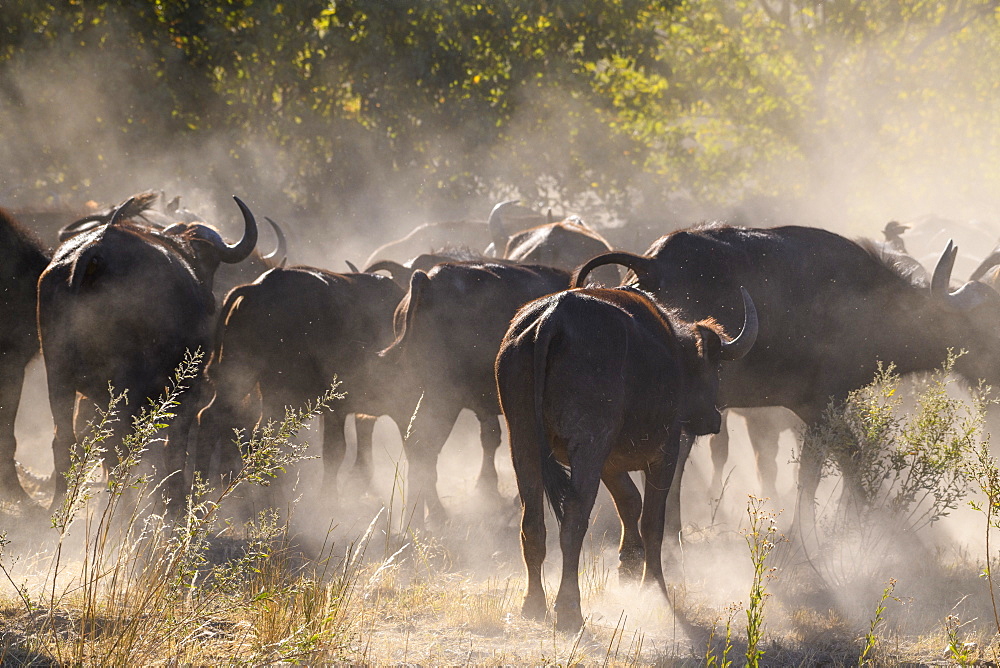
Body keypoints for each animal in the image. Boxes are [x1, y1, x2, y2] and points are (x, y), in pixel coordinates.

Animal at [37, 196, 260, 508]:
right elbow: (173, 445)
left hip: (58, 376)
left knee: (65, 440)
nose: (209, 299)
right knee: (118, 443)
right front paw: (175, 502)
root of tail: (96, 252)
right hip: (126, 386)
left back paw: (60, 504)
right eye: (209, 261)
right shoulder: (186, 390)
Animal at [496, 288, 760, 632]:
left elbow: (629, 501)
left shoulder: (611, 461)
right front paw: (654, 585)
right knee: (573, 522)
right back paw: (569, 610)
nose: (713, 419)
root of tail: (555, 314)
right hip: (588, 444)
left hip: (523, 440)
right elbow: (652, 521)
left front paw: (630, 565)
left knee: (532, 523)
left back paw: (534, 604)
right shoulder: (666, 452)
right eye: (712, 367)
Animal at [576, 227, 1000, 540]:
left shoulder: (817, 406)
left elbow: (849, 459)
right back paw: (672, 537)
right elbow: (816, 472)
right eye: (986, 325)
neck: (869, 303)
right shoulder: (821, 403)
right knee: (672, 465)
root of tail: (649, 266)